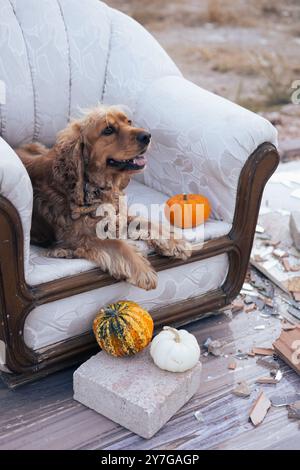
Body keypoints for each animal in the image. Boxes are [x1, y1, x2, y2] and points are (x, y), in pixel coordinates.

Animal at [16, 106, 191, 290]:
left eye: (129, 121)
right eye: (108, 130)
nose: (147, 136)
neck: (96, 187)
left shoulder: (118, 214)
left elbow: (144, 221)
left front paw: (174, 241)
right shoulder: (80, 236)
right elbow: (118, 244)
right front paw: (143, 270)